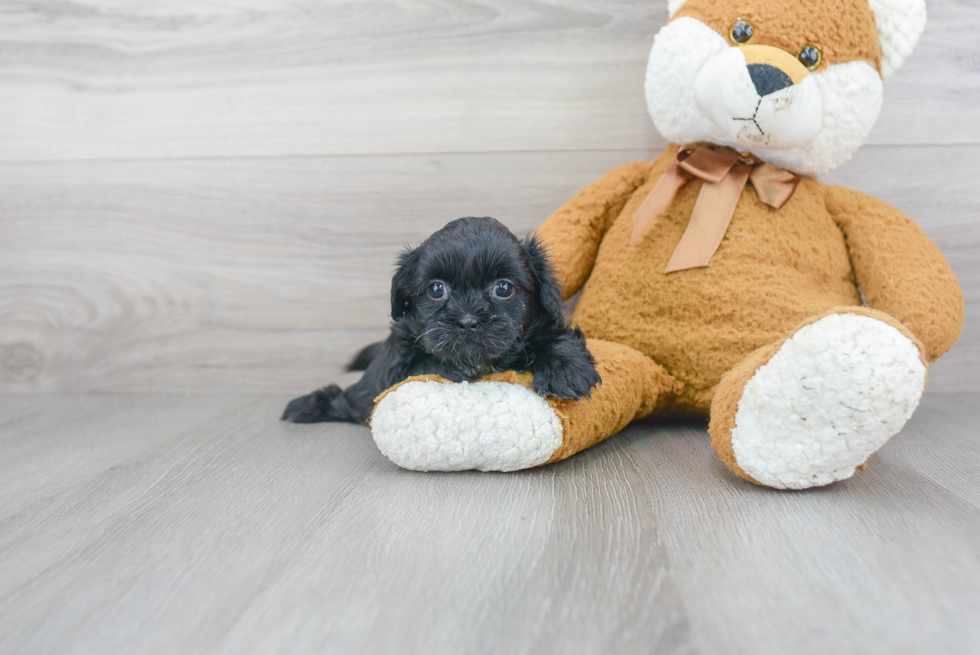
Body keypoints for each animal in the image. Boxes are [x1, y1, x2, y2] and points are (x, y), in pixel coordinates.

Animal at [282, 217, 596, 426]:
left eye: (503, 288)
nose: (468, 320)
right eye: (436, 289)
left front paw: (566, 370)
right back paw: (304, 406)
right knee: (345, 397)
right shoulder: (399, 362)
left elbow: (558, 337)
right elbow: (427, 365)